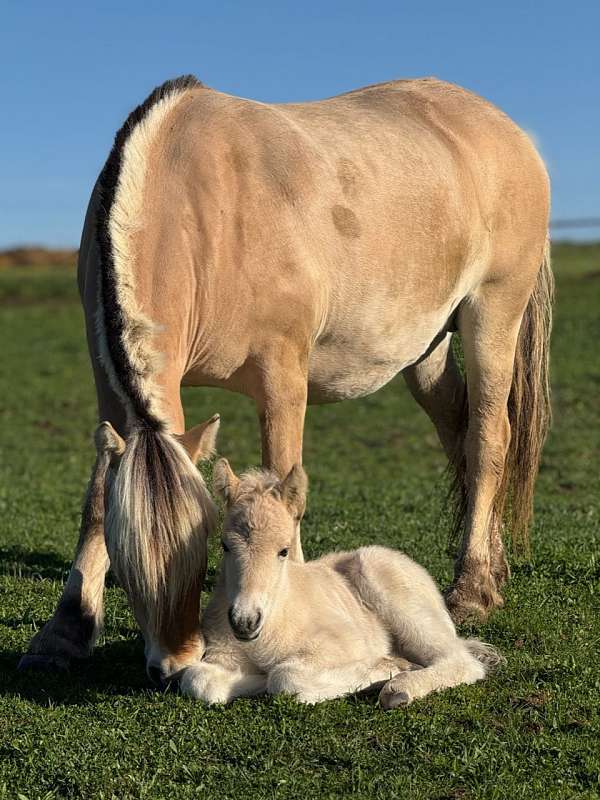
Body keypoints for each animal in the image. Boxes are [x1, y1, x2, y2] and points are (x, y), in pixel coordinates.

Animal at [180, 460, 502, 706]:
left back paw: (399, 689)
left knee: (461, 660)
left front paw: (388, 667)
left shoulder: (340, 644)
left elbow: (285, 678)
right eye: (225, 546)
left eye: (283, 550)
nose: (245, 621)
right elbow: (197, 680)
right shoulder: (222, 654)